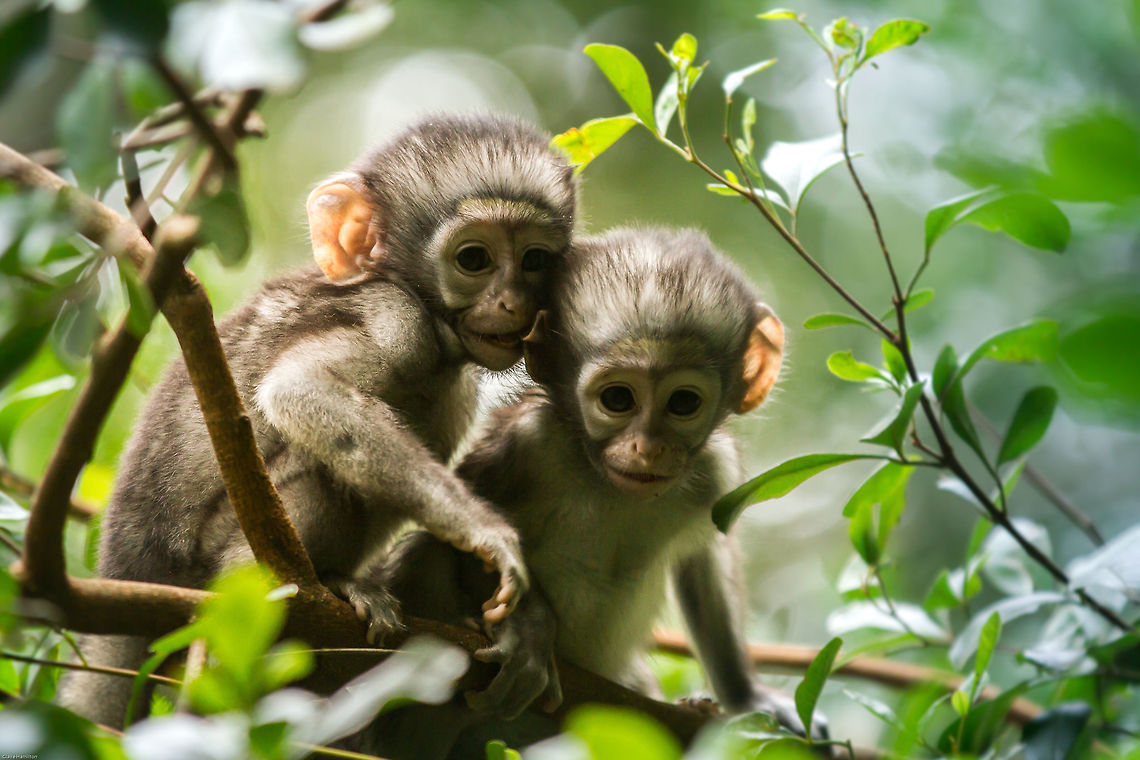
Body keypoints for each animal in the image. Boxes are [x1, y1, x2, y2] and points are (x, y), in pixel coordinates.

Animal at [56, 114, 578, 729]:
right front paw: (487, 535)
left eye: (535, 262)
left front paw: (529, 632)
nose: (513, 303)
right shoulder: (394, 318)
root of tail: (129, 568)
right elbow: (298, 391)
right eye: (474, 259)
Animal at [353, 226, 825, 759]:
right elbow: (469, 536)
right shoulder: (528, 441)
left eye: (683, 403)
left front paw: (750, 699)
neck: (603, 479)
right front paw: (528, 633)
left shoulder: (714, 472)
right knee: (425, 553)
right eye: (617, 399)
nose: (648, 447)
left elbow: (705, 562)